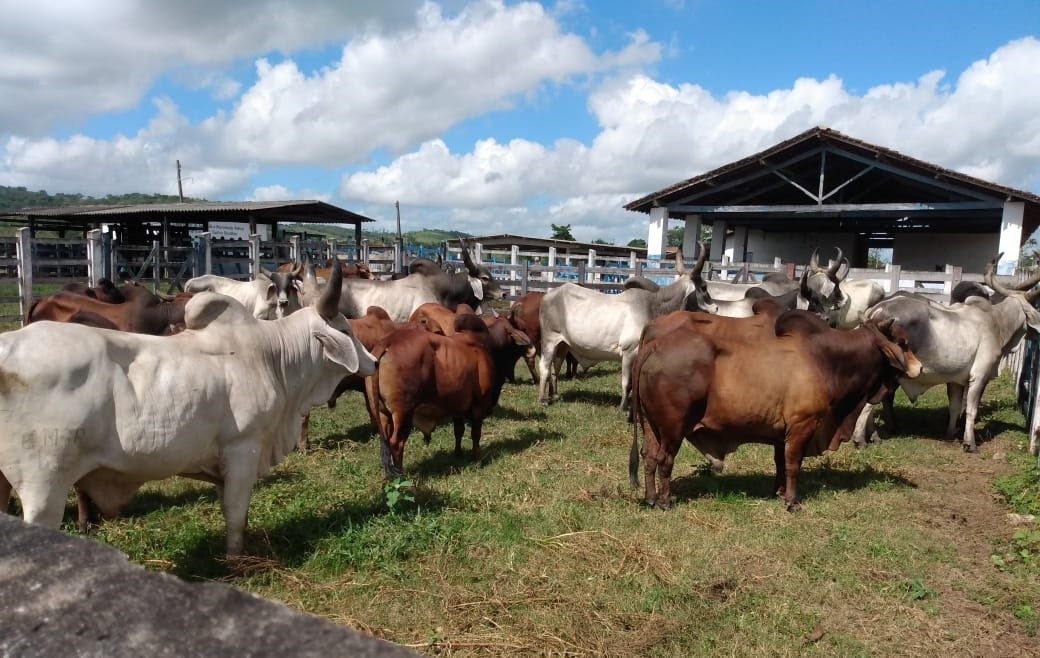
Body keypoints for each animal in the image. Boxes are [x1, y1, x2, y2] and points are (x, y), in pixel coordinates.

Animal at [0, 264, 374, 553]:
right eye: (344, 328)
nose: (372, 361)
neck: (272, 356)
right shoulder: (243, 449)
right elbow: (236, 513)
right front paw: (236, 560)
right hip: (43, 486)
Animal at [364, 313, 528, 474]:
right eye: (516, 326)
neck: (487, 344)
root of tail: (388, 342)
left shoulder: (459, 406)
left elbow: (459, 431)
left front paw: (458, 453)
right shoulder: (480, 405)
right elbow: (475, 433)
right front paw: (476, 456)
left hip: (382, 413)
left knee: (385, 441)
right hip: (403, 413)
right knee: (396, 442)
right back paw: (401, 474)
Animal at [536, 244, 715, 407]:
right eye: (704, 287)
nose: (716, 308)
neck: (654, 306)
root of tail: (548, 295)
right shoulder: (630, 351)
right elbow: (627, 383)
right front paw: (624, 407)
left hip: (563, 345)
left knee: (555, 368)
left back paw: (555, 395)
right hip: (550, 341)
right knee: (545, 367)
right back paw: (543, 400)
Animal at [628, 307, 923, 507]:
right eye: (903, 343)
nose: (920, 368)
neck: (827, 360)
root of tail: (655, 345)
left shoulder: (783, 433)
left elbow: (781, 463)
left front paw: (779, 492)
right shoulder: (803, 425)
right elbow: (793, 464)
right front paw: (792, 500)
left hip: (650, 424)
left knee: (649, 456)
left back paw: (651, 498)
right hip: (673, 427)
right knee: (665, 459)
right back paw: (664, 501)